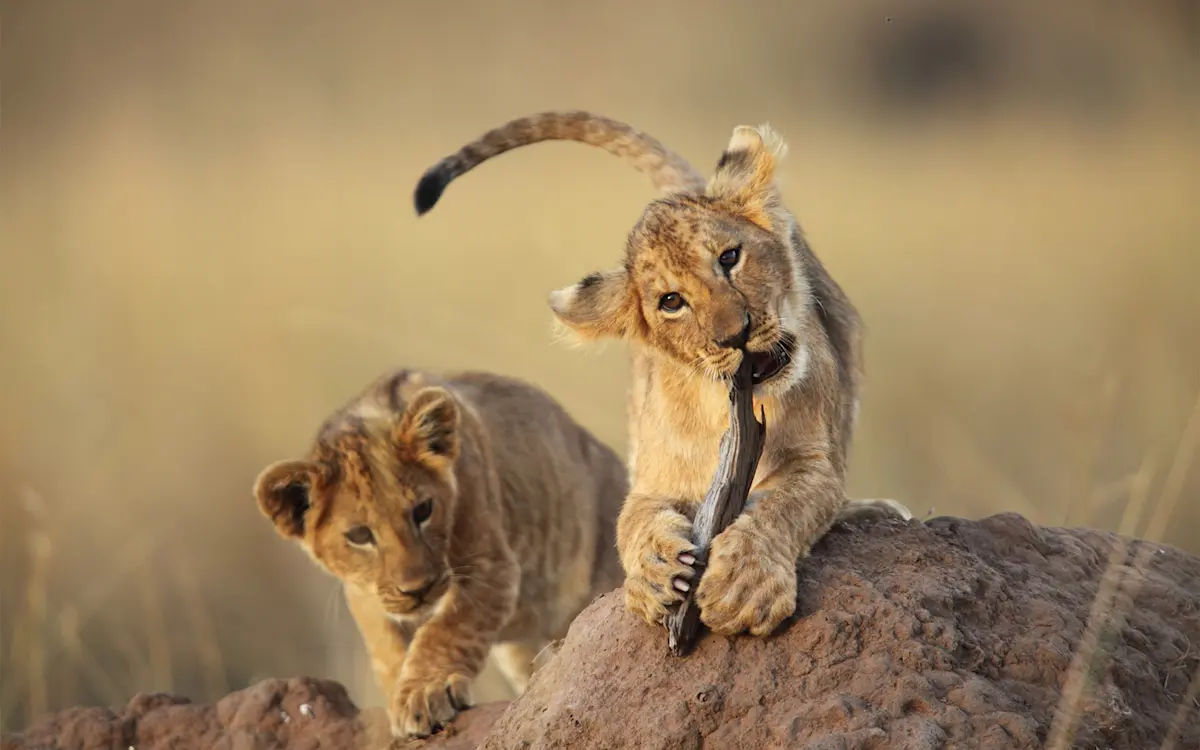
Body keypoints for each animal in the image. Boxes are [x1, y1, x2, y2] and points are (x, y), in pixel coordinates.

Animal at [253, 368, 626, 738]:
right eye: (359, 535)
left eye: (423, 510)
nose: (417, 589)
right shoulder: (365, 594)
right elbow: (387, 645)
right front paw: (401, 698)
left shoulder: (490, 566)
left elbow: (447, 628)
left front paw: (425, 693)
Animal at [413, 111, 912, 640]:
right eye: (671, 302)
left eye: (729, 257)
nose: (736, 334)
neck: (722, 407)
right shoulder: (652, 478)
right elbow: (632, 522)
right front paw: (655, 572)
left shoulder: (815, 460)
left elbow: (786, 504)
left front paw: (745, 585)